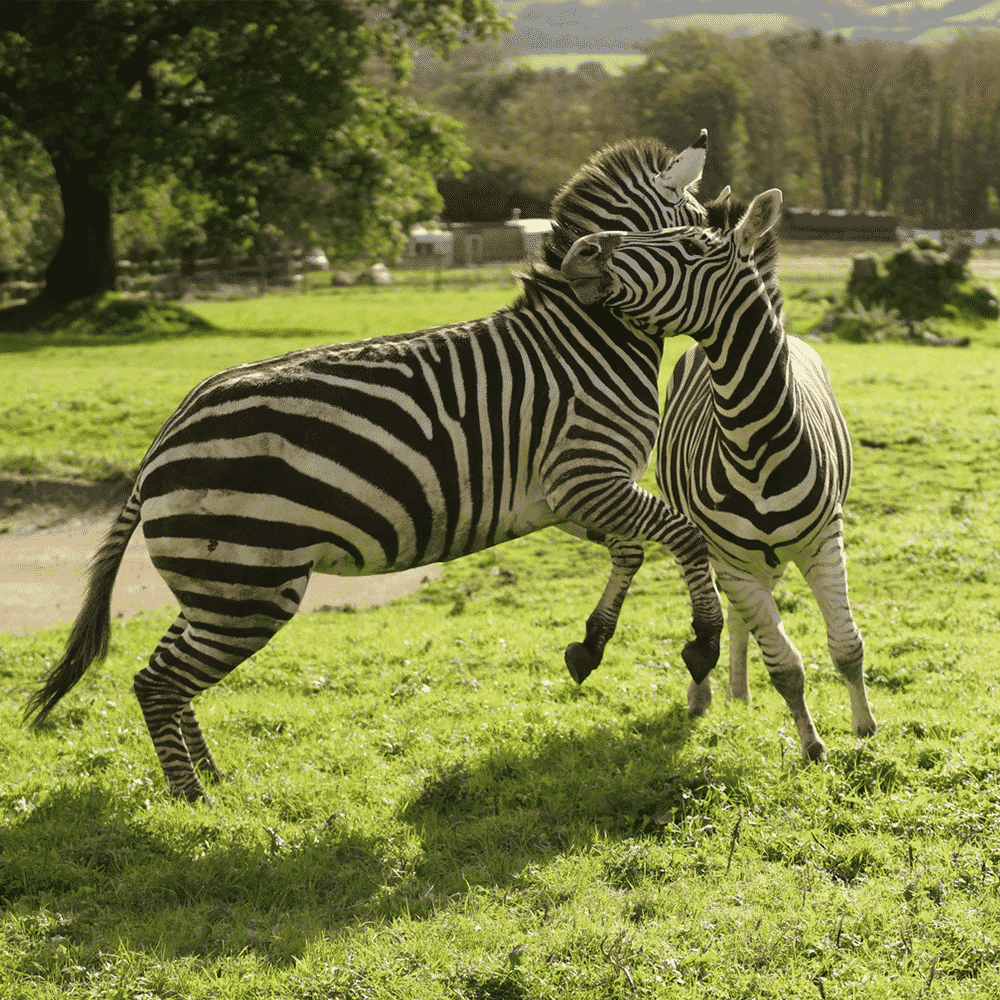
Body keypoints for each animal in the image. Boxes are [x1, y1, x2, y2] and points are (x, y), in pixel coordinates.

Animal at [25, 135, 728, 804]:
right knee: (159, 682)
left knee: (165, 675)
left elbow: (632, 551)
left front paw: (590, 645)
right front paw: (703, 640)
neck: (589, 338)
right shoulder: (586, 476)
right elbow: (684, 536)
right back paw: (194, 802)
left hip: (221, 584)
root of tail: (161, 442)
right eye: (697, 234)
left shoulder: (567, 497)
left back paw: (213, 778)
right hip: (250, 588)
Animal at [568, 191, 880, 760]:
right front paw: (812, 748)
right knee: (721, 611)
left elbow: (847, 646)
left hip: (767, 558)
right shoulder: (728, 557)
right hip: (721, 552)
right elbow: (785, 665)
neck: (756, 444)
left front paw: (865, 729)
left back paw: (737, 690)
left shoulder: (825, 540)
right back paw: (707, 694)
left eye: (692, 247)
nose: (580, 250)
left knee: (740, 616)